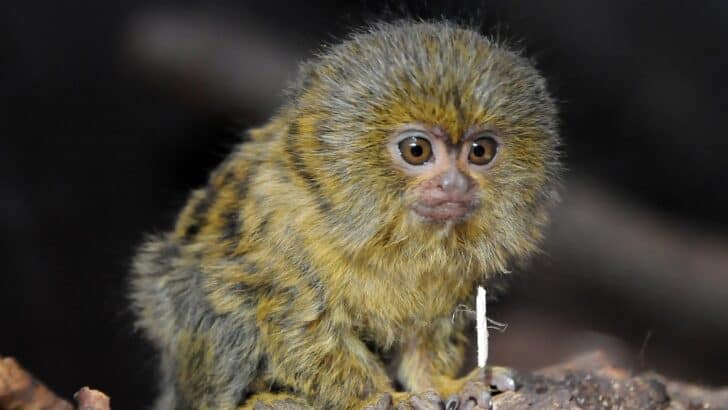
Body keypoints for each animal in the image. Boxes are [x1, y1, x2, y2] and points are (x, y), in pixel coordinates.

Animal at [130, 20, 561, 410]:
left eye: (480, 151)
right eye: (417, 150)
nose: (454, 185)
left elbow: (426, 334)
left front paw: (445, 383)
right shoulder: (278, 228)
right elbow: (299, 326)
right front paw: (381, 397)